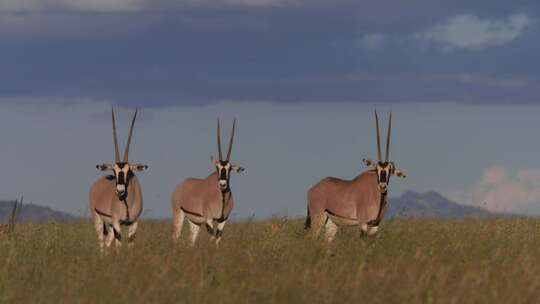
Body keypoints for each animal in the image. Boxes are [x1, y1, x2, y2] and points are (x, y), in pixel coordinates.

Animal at [89, 108, 148, 253]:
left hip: (109, 225)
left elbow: (130, 243)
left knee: (107, 242)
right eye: (114, 171)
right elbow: (119, 244)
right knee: (101, 242)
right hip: (98, 220)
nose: (120, 191)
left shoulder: (135, 222)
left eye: (129, 171)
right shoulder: (117, 222)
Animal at [171, 119, 245, 247]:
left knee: (191, 240)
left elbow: (217, 238)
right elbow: (212, 237)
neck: (221, 197)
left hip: (194, 222)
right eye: (217, 167)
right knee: (175, 236)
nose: (222, 184)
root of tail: (179, 187)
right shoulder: (209, 219)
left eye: (230, 168)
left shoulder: (223, 220)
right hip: (178, 214)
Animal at [308, 110, 404, 241]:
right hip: (318, 218)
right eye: (376, 169)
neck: (375, 194)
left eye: (390, 170)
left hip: (331, 223)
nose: (383, 186)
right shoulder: (363, 223)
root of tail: (312, 189)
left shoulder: (375, 225)